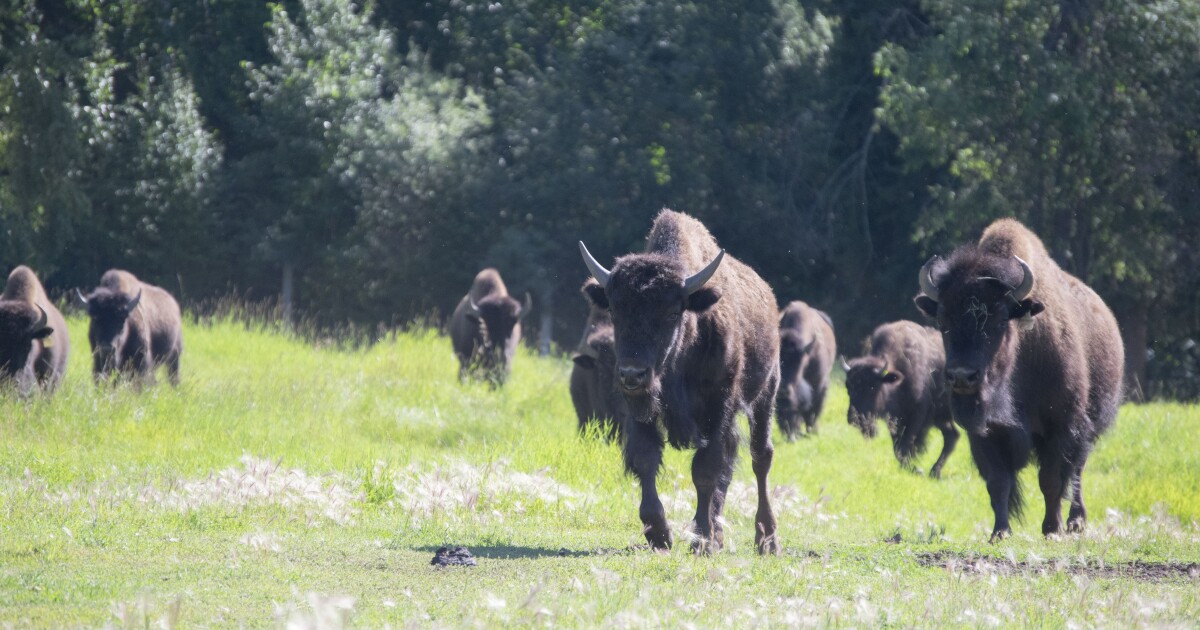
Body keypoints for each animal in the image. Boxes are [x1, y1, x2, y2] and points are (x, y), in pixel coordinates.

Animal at [579, 209, 782, 555]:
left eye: (673, 312)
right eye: (615, 311)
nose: (632, 373)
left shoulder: (718, 409)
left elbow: (705, 470)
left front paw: (701, 541)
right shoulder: (639, 410)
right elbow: (646, 459)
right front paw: (659, 533)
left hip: (766, 394)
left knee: (760, 458)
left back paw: (766, 539)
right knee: (731, 464)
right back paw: (720, 533)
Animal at [842, 321, 958, 478]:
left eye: (873, 386)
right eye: (848, 386)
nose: (856, 420)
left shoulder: (917, 416)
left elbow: (904, 445)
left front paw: (916, 470)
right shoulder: (895, 419)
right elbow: (897, 447)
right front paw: (914, 468)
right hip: (941, 418)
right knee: (952, 435)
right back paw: (935, 471)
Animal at [914, 219, 1124, 540]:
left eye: (1000, 319)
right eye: (942, 320)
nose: (963, 376)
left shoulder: (1060, 426)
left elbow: (1050, 479)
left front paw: (1052, 529)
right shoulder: (985, 434)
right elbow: (998, 483)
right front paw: (1000, 532)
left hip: (1088, 427)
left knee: (1077, 471)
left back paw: (1076, 522)